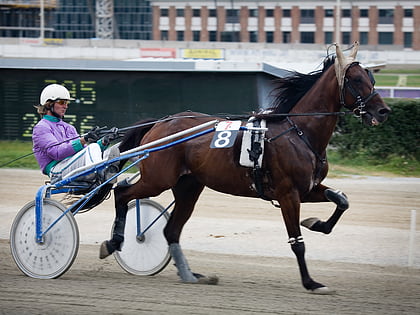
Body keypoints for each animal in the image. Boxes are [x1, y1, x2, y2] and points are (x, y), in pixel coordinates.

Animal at [98, 43, 390, 296]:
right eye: (355, 80)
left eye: (371, 78)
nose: (384, 111)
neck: (299, 133)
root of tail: (161, 123)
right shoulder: (288, 194)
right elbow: (297, 243)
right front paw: (311, 282)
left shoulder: (307, 189)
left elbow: (341, 199)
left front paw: (317, 223)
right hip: (159, 178)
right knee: (122, 192)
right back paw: (114, 242)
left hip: (188, 186)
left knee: (170, 230)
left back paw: (190, 274)